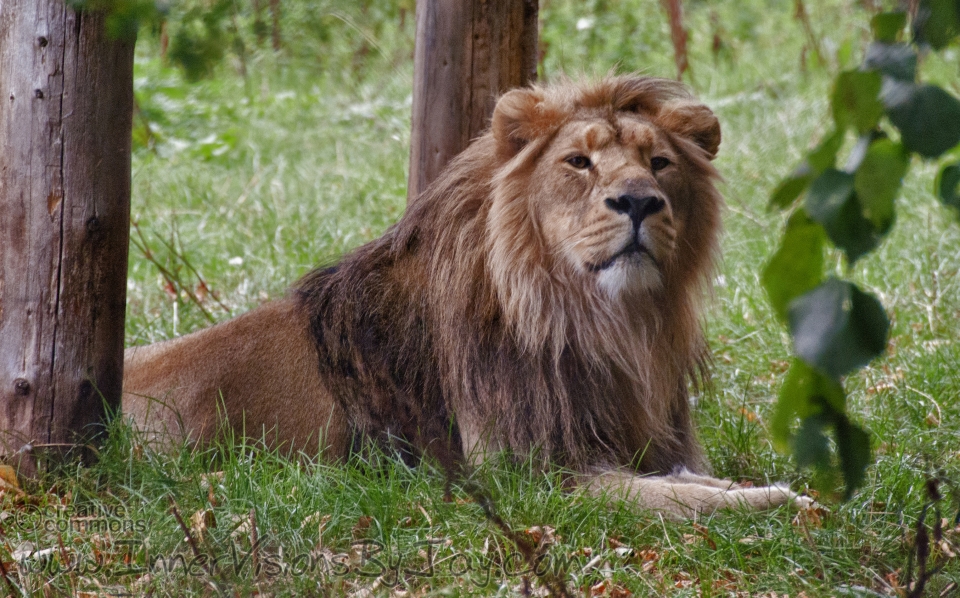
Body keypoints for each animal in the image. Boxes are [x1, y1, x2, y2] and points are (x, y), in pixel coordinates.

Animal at [124, 76, 808, 520]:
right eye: (578, 161)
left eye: (661, 162)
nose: (639, 200)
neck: (600, 321)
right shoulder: (526, 476)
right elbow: (671, 495)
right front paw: (774, 500)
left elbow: (686, 476)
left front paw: (756, 486)